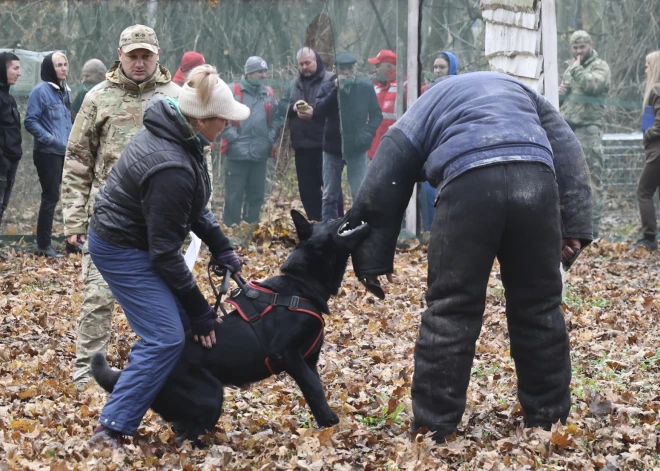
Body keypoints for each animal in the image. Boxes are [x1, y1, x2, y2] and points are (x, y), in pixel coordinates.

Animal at [90, 210, 368, 446]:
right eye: (331, 220)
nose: (352, 210)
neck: (301, 285)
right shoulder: (287, 353)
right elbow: (314, 387)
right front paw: (331, 421)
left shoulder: (308, 361)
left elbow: (313, 390)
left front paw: (325, 424)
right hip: (210, 394)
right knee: (185, 439)